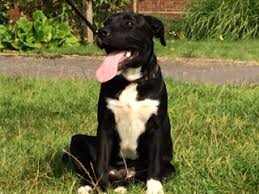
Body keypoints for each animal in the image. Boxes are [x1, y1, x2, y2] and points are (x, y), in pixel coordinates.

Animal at [69, 12, 176, 194]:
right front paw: (101, 187)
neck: (131, 81)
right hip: (77, 141)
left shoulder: (156, 127)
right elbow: (101, 164)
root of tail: (120, 172)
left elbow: (154, 163)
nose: (101, 32)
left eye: (129, 24)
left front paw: (154, 187)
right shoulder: (105, 125)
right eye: (106, 22)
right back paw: (88, 185)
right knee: (90, 168)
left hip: (168, 165)